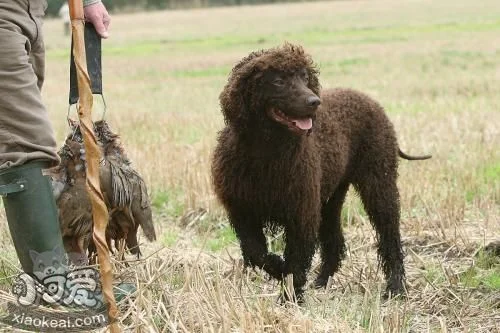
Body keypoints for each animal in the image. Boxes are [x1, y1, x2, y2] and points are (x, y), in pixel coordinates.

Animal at [211, 42, 430, 300]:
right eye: (278, 81)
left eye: (305, 77)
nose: (314, 101)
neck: (266, 153)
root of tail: (371, 101)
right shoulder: (243, 211)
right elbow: (258, 254)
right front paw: (280, 270)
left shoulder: (302, 213)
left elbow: (296, 260)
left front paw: (290, 297)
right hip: (330, 198)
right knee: (335, 242)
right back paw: (322, 281)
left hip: (378, 183)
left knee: (390, 236)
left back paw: (395, 287)